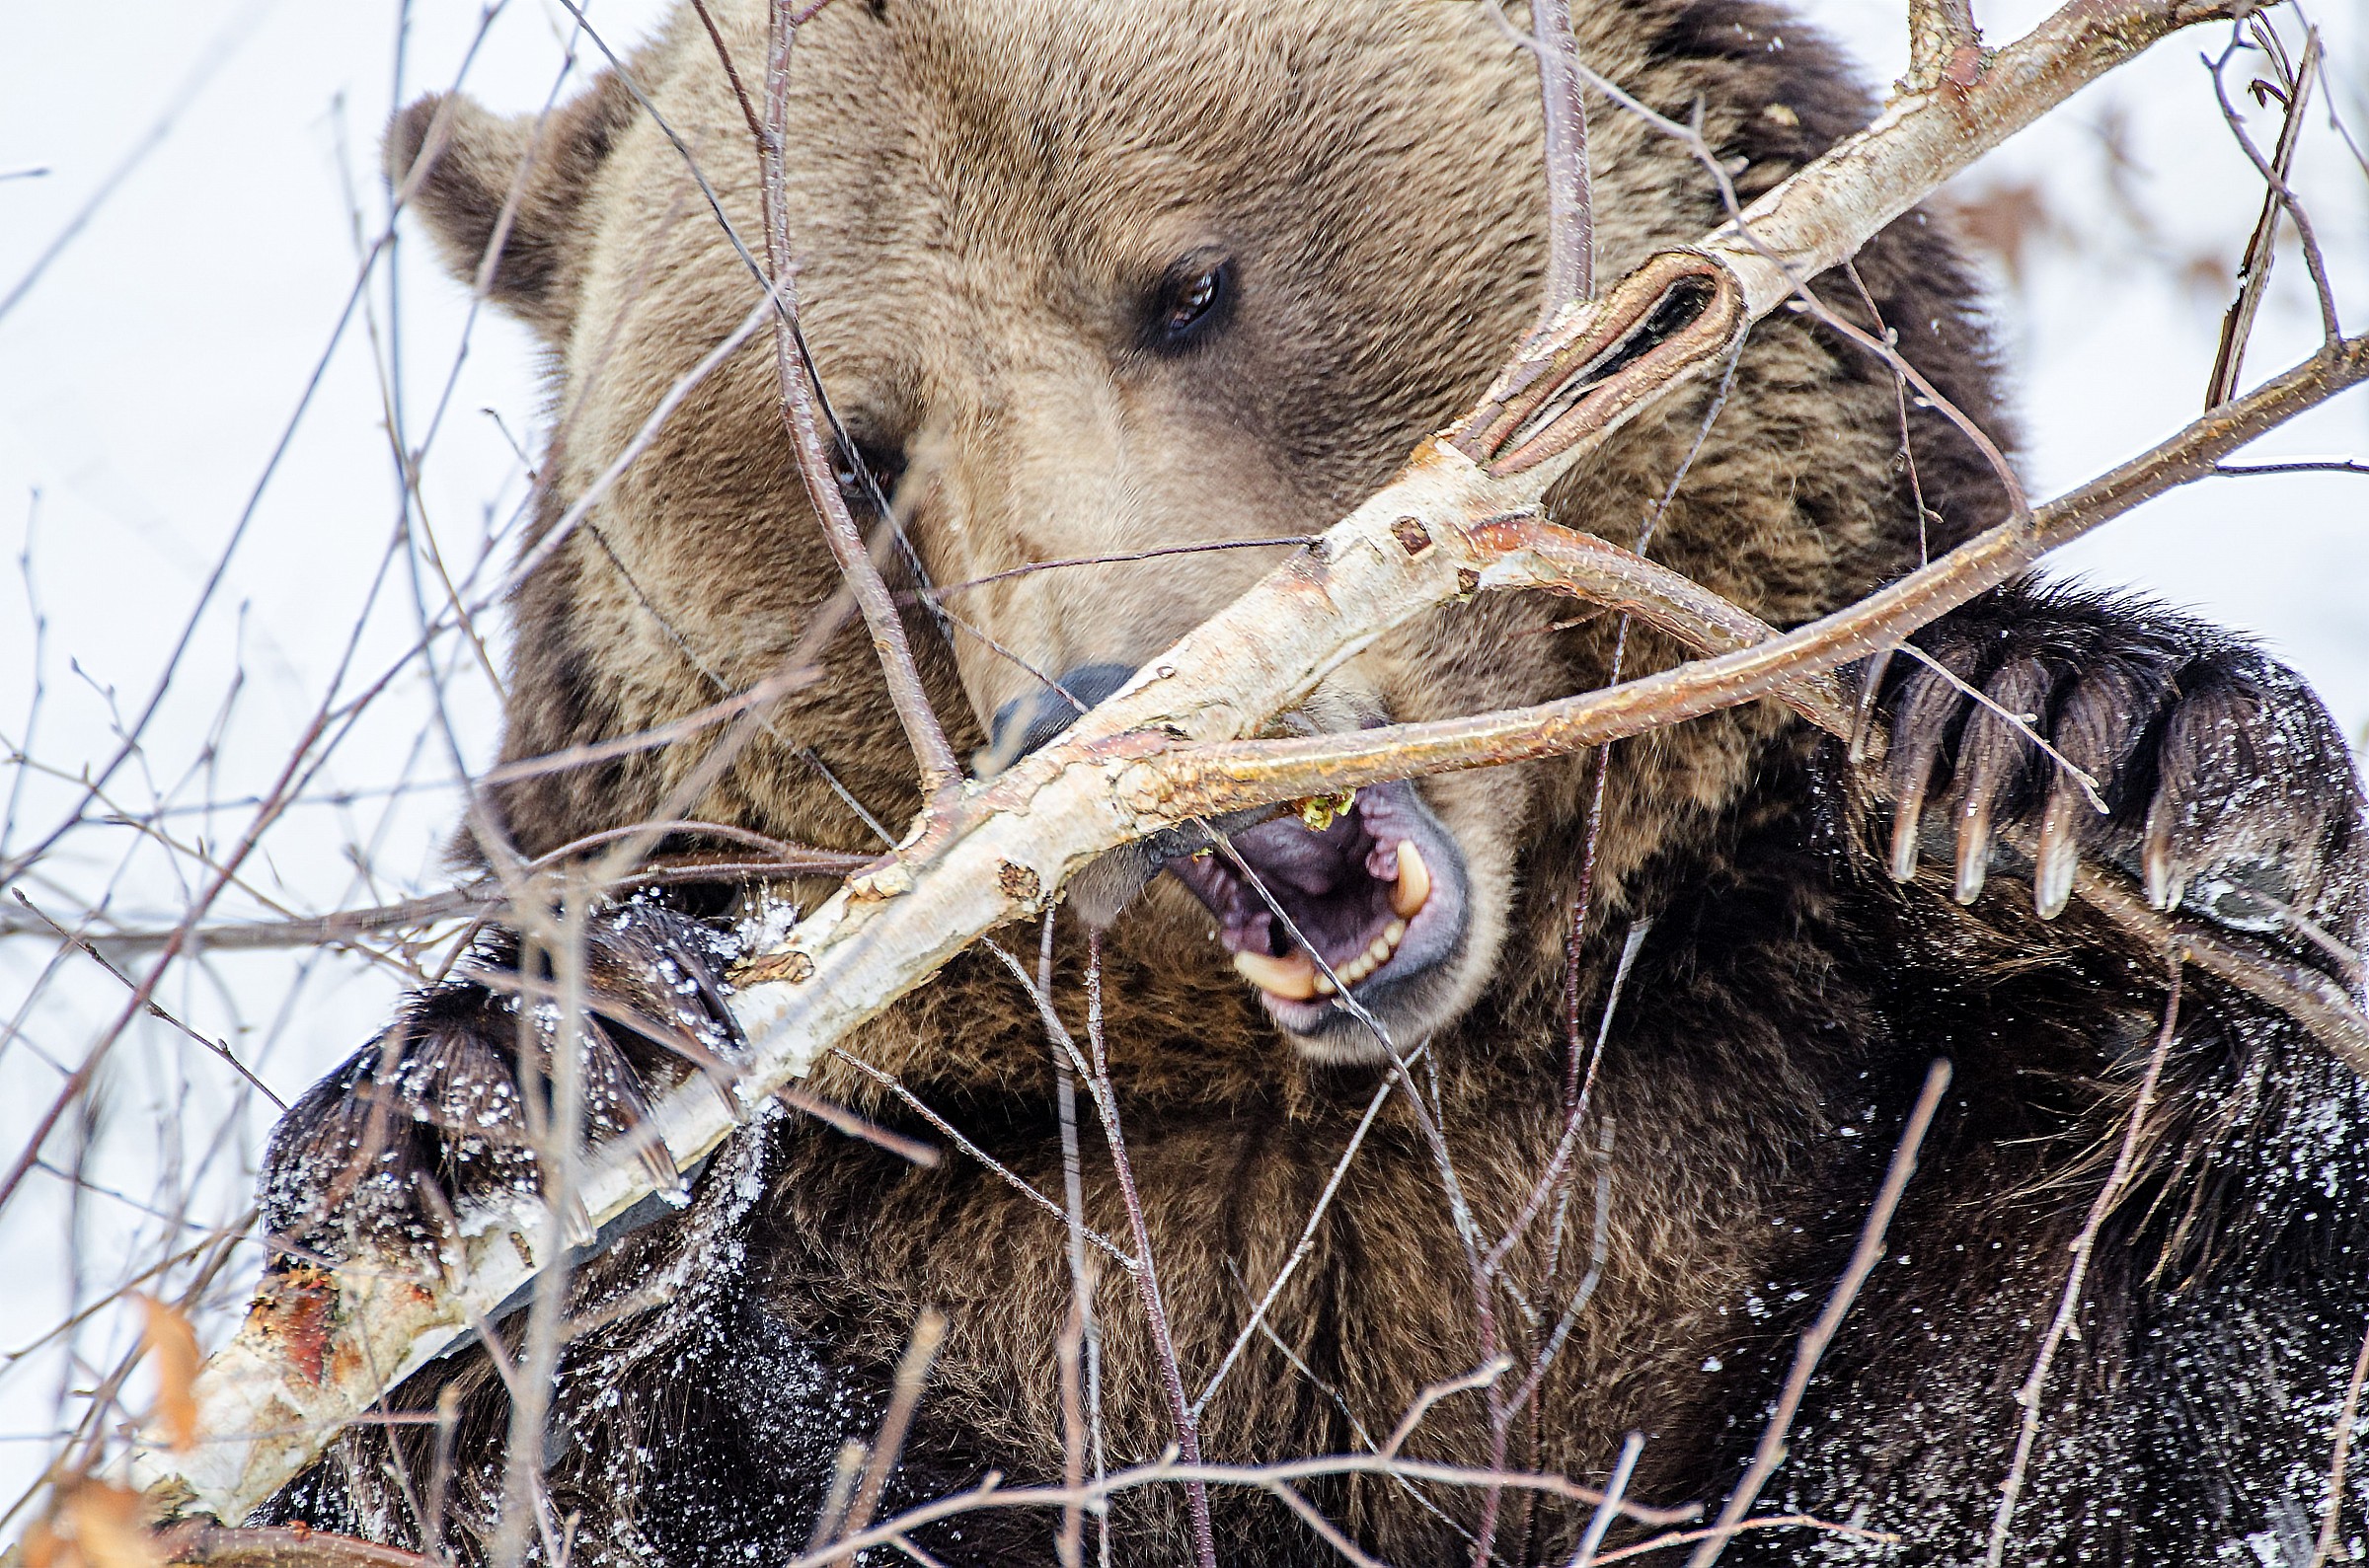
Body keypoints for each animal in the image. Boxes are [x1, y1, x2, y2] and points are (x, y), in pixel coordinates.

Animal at [251, 0, 2369, 1562]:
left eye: (1189, 285)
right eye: (855, 447)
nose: (1098, 698)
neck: (1364, 1093)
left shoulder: (1788, 1122)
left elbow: (2107, 1393)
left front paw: (2091, 752)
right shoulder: (973, 1236)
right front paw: (498, 1096)